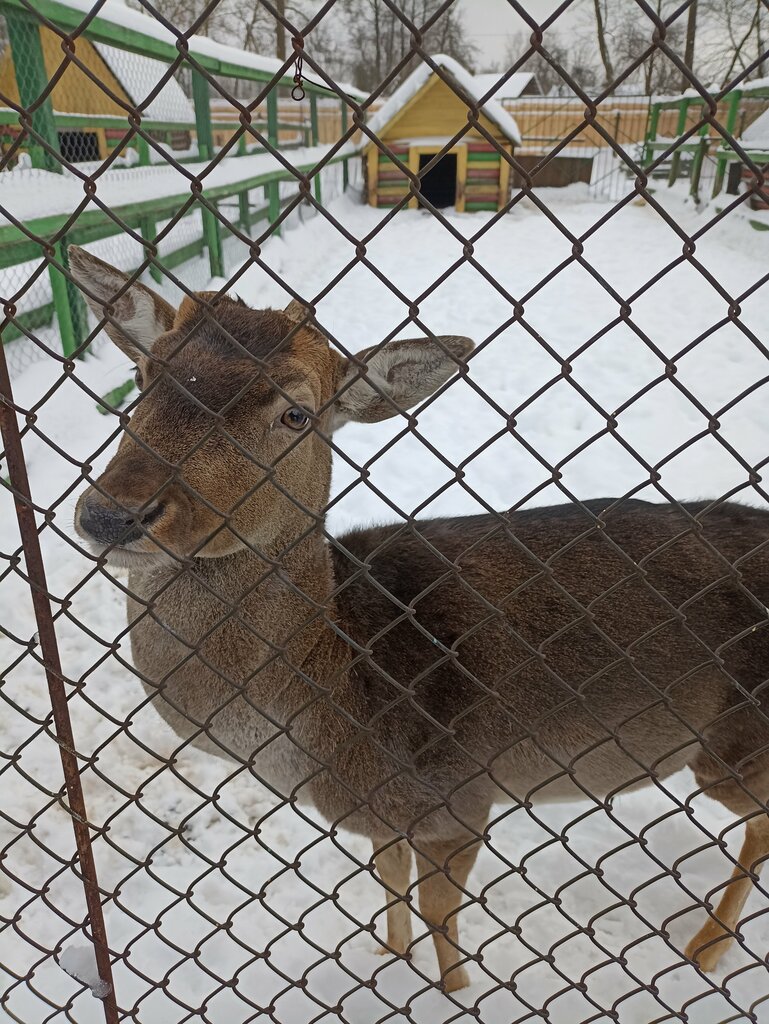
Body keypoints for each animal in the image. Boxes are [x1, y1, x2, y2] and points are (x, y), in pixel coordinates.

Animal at [69, 245, 769, 991]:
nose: (113, 514)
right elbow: (388, 881)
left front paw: (454, 993)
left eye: (296, 414)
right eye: (143, 373)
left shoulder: (456, 799)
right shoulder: (389, 817)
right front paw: (387, 959)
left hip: (735, 745)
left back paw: (705, 948)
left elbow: (439, 915)